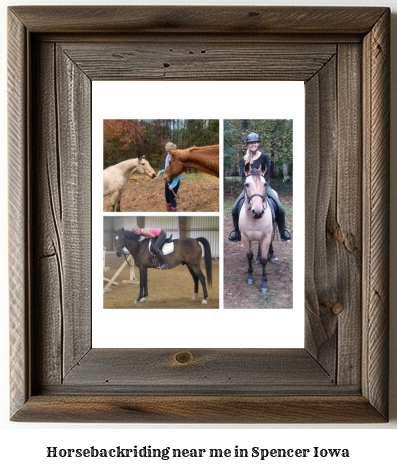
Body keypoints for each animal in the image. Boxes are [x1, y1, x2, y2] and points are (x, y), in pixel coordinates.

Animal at [237, 162, 274, 296]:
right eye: (247, 184)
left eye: (264, 184)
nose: (257, 212)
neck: (254, 220)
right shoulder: (245, 237)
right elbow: (249, 255)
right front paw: (250, 277)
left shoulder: (266, 237)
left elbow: (264, 259)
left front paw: (264, 284)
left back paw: (272, 256)